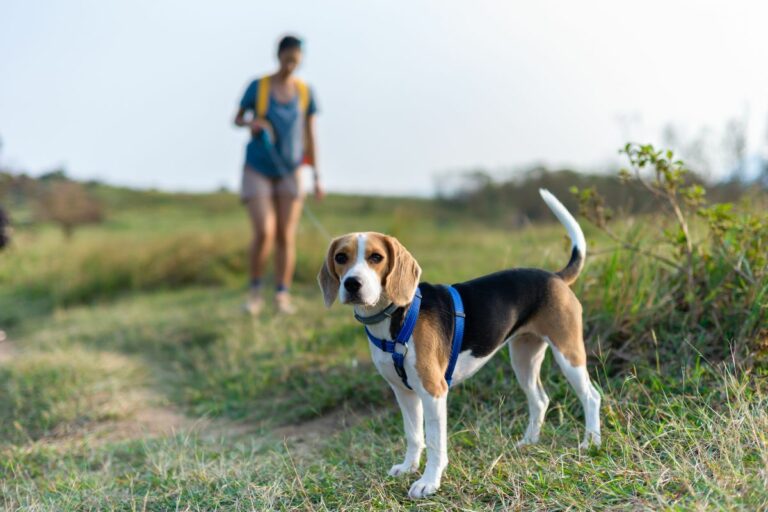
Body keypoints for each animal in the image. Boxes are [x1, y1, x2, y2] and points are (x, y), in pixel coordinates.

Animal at [318, 190, 600, 498]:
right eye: (341, 257)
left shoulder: (433, 391)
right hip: (524, 359)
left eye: (376, 257)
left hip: (568, 353)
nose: (352, 284)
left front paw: (428, 482)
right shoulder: (403, 392)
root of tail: (555, 276)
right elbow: (413, 435)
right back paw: (528, 442)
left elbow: (435, 442)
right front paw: (408, 467)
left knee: (591, 396)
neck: (394, 317)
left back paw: (591, 443)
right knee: (540, 399)